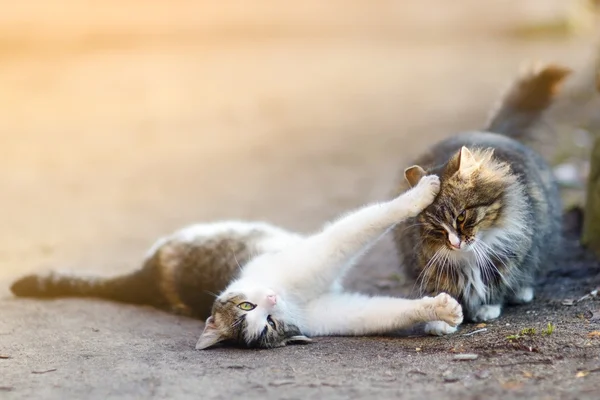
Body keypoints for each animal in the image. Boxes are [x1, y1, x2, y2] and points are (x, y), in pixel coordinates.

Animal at [10, 174, 464, 346]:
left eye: (249, 305)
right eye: (265, 324)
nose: (271, 302)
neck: (292, 297)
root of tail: (142, 280)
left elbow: (373, 220)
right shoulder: (330, 293)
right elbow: (385, 307)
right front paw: (442, 313)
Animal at [392, 63, 568, 334]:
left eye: (461, 216)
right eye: (437, 229)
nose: (455, 244)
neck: (469, 256)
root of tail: (488, 132)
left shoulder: (508, 253)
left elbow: (495, 282)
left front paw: (487, 308)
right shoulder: (431, 264)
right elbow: (442, 290)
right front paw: (441, 320)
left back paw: (522, 293)